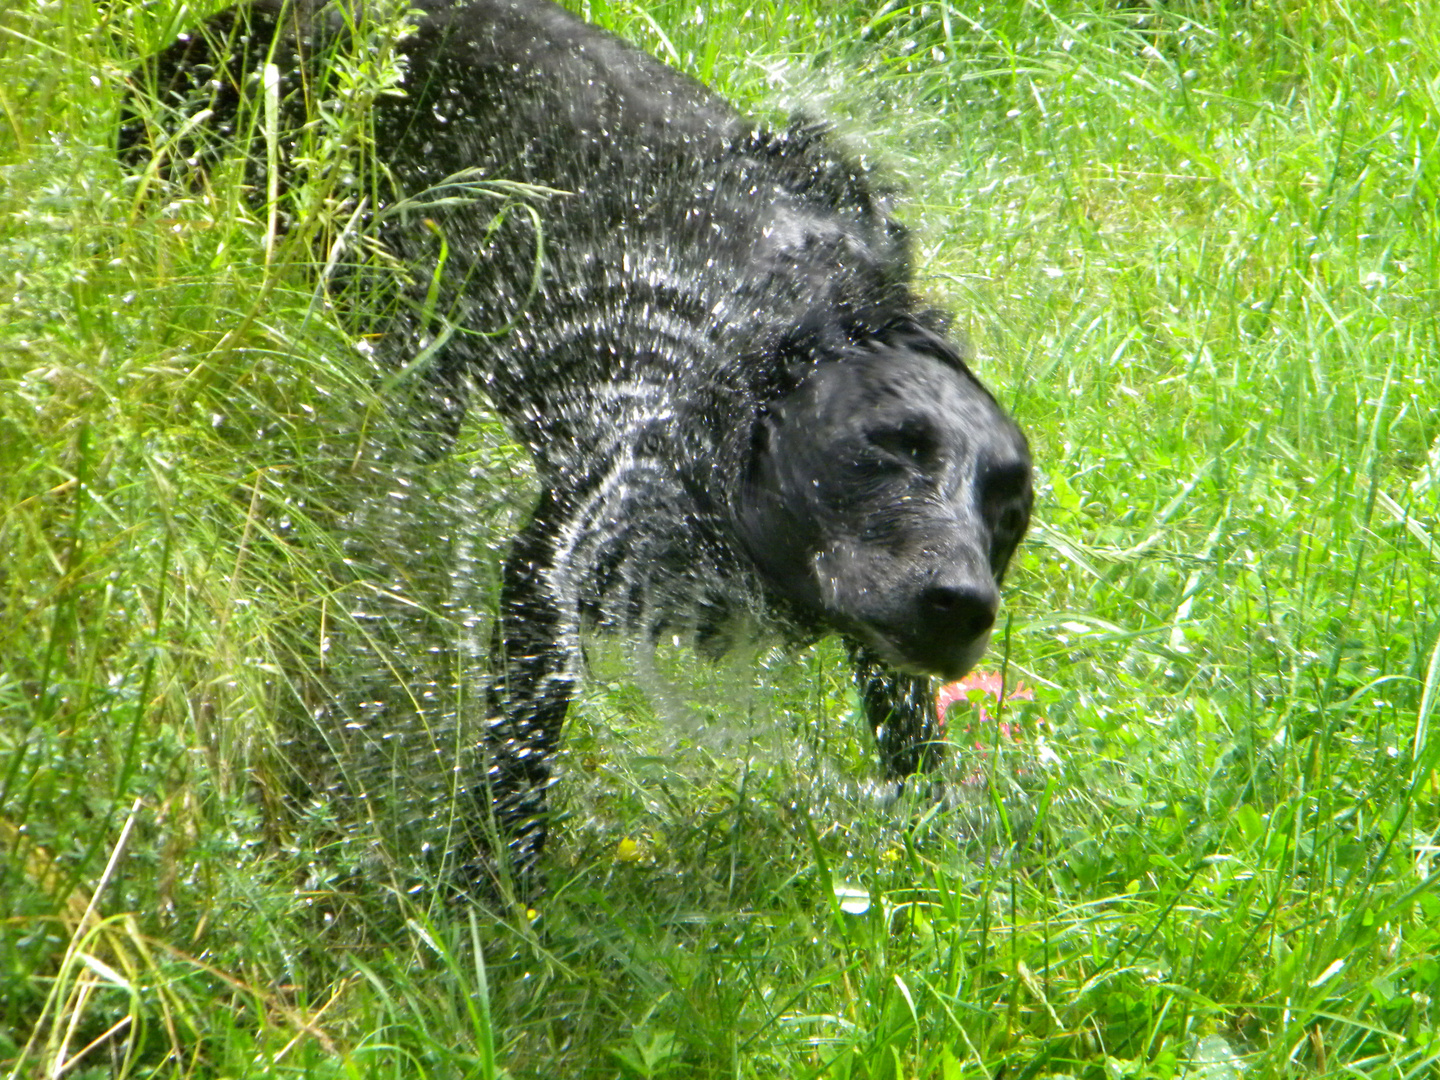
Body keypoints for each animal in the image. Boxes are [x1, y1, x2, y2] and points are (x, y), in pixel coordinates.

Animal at [120, 0, 1025, 892]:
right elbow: (518, 762)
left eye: (1011, 512)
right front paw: (491, 894)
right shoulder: (550, 574)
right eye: (891, 445)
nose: (965, 605)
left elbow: (911, 737)